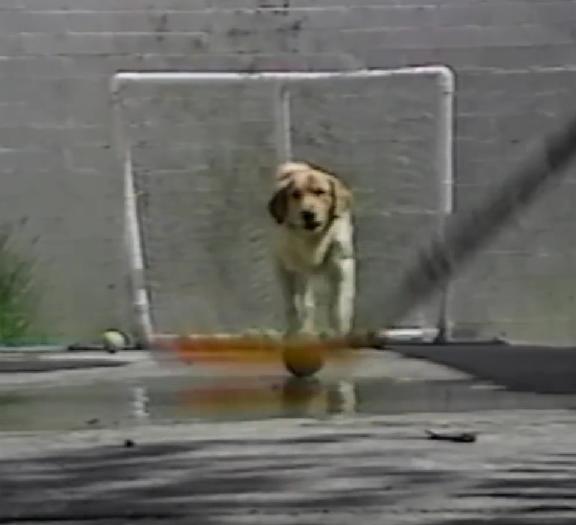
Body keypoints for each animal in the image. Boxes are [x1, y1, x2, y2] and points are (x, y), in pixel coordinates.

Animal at [266, 162, 356, 338]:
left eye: (320, 192)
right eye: (295, 194)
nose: (308, 214)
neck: (313, 240)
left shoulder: (342, 268)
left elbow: (338, 306)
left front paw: (339, 332)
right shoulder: (292, 270)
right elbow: (299, 305)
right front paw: (300, 331)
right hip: (293, 272)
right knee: (298, 303)